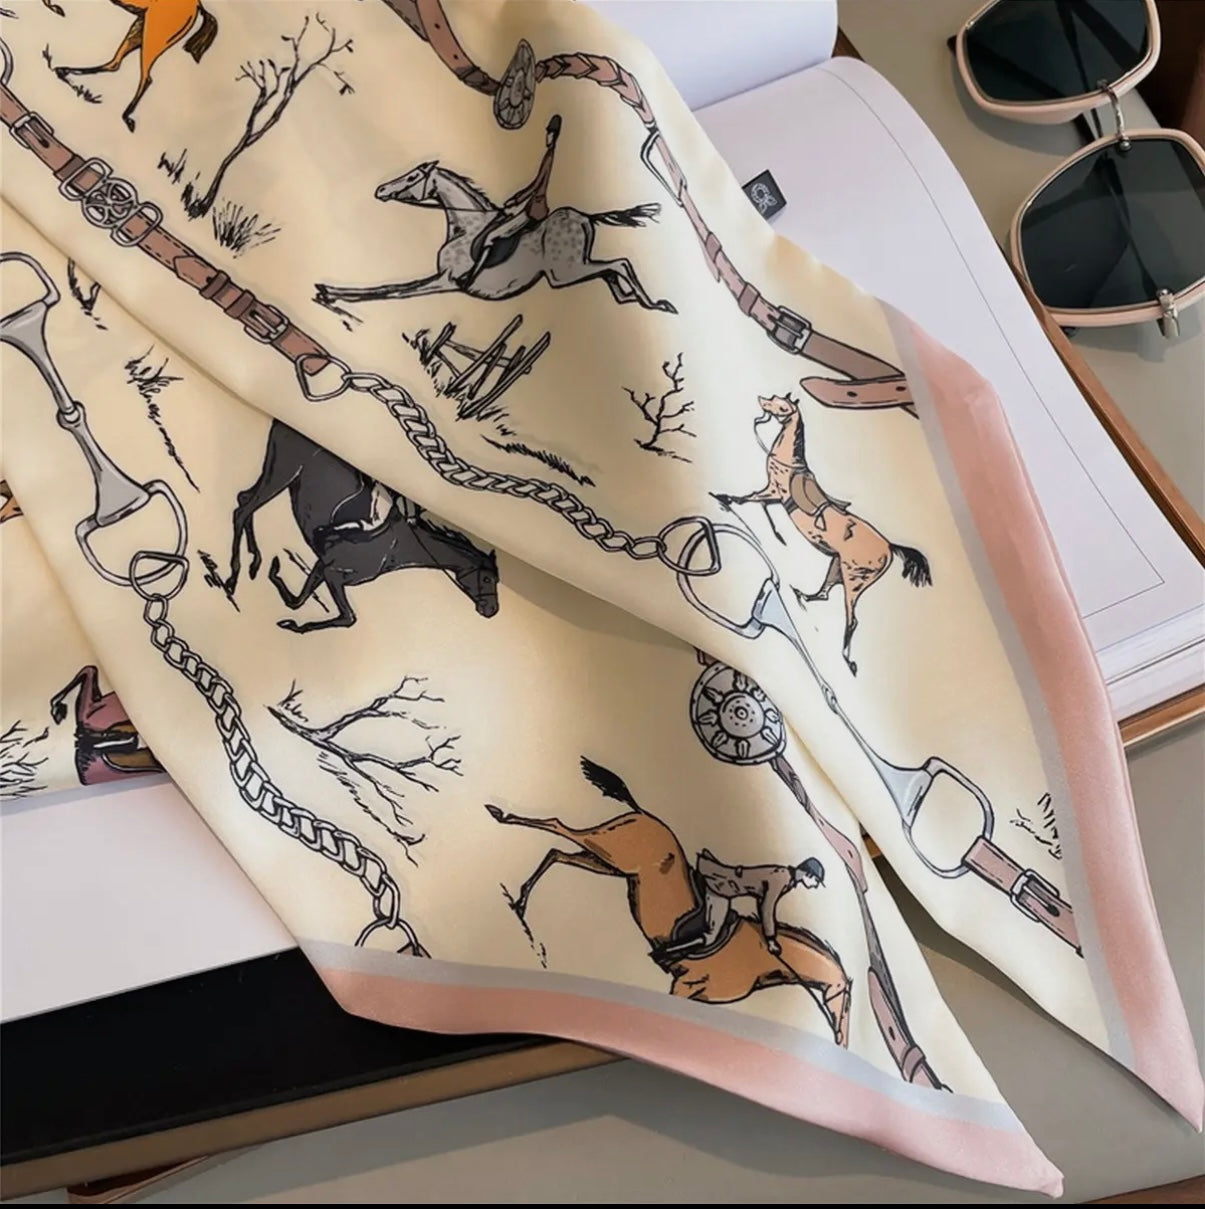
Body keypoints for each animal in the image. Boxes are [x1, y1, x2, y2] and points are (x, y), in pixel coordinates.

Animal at [44, 0, 219, 132]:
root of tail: (198, 5)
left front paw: (56, 8)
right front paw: (56, 8)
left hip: (153, 36)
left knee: (145, 77)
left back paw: (126, 117)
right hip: (139, 29)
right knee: (115, 64)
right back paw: (64, 72)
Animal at [225, 420, 499, 634]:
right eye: (487, 579)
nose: (492, 610)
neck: (393, 549)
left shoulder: (323, 567)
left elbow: (304, 602)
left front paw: (291, 618)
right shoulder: (332, 572)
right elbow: (343, 615)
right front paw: (276, 577)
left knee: (243, 500)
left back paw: (254, 561)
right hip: (283, 471)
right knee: (242, 510)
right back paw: (234, 577)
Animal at [314, 161, 675, 314]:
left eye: (414, 176)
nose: (381, 190)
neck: (466, 227)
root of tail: (586, 216)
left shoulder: (446, 281)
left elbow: (392, 290)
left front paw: (331, 294)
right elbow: (391, 288)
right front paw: (326, 290)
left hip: (563, 274)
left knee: (620, 264)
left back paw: (653, 303)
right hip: (572, 269)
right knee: (609, 272)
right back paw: (635, 301)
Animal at [487, 757, 851, 1043]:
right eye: (845, 1003)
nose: (841, 1039)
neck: (761, 963)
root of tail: (642, 812)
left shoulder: (690, 994)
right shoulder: (686, 986)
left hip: (609, 865)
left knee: (556, 852)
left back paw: (520, 903)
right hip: (609, 850)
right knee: (556, 826)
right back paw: (499, 814)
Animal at [716, 394, 932, 676]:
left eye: (782, 406)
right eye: (774, 398)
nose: (762, 400)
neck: (788, 461)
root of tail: (889, 546)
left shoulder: (773, 490)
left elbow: (750, 497)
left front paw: (725, 499)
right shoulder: (775, 497)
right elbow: (762, 506)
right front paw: (777, 535)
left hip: (853, 580)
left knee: (852, 620)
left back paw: (847, 660)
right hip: (837, 567)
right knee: (825, 593)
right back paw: (802, 596)